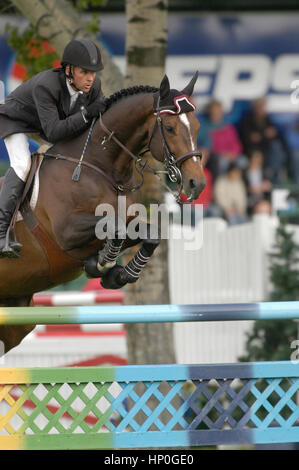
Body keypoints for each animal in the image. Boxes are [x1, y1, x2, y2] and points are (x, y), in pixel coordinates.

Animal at [0, 73, 206, 354]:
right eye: (170, 128)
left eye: (196, 126)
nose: (198, 184)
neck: (101, 167)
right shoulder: (67, 232)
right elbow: (115, 226)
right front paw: (102, 263)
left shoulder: (129, 221)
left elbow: (150, 233)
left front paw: (117, 273)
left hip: (16, 314)